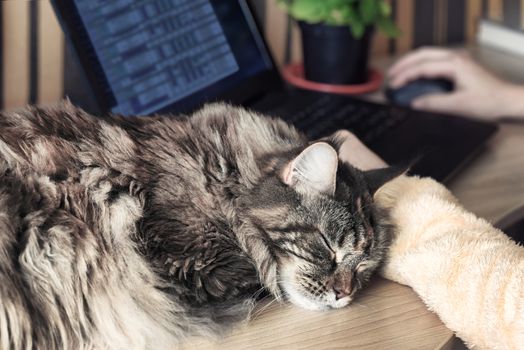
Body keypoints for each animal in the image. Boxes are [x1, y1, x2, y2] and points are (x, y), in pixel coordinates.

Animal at [0, 100, 400, 348]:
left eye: (363, 267)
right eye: (328, 248)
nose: (344, 294)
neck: (225, 177)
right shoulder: (194, 262)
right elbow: (259, 276)